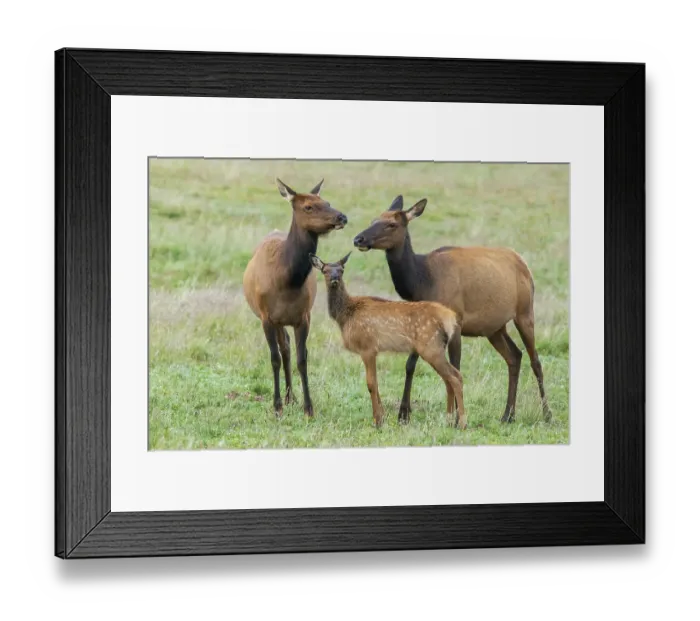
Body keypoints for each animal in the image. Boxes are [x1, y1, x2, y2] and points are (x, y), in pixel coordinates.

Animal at [243, 178, 347, 418]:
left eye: (327, 202)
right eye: (308, 206)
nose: (342, 217)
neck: (286, 281)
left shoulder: (304, 317)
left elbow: (303, 359)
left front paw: (308, 407)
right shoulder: (266, 317)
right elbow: (274, 358)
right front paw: (276, 406)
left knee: (288, 348)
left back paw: (292, 396)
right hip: (275, 320)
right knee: (284, 349)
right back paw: (287, 398)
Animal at [310, 252, 466, 429]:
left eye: (341, 270)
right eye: (325, 270)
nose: (334, 279)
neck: (345, 316)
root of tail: (449, 317)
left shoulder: (367, 347)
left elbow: (371, 384)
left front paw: (377, 421)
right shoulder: (373, 350)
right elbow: (376, 383)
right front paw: (382, 417)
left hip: (431, 347)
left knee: (456, 377)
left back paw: (462, 423)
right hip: (435, 348)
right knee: (449, 380)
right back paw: (449, 420)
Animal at [352, 195, 552, 425]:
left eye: (392, 224)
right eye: (373, 219)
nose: (358, 239)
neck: (422, 282)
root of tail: (524, 264)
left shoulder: (456, 320)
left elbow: (455, 366)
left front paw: (457, 417)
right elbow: (410, 365)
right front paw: (404, 414)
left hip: (525, 312)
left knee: (535, 361)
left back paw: (547, 415)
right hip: (494, 328)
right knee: (515, 356)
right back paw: (508, 415)